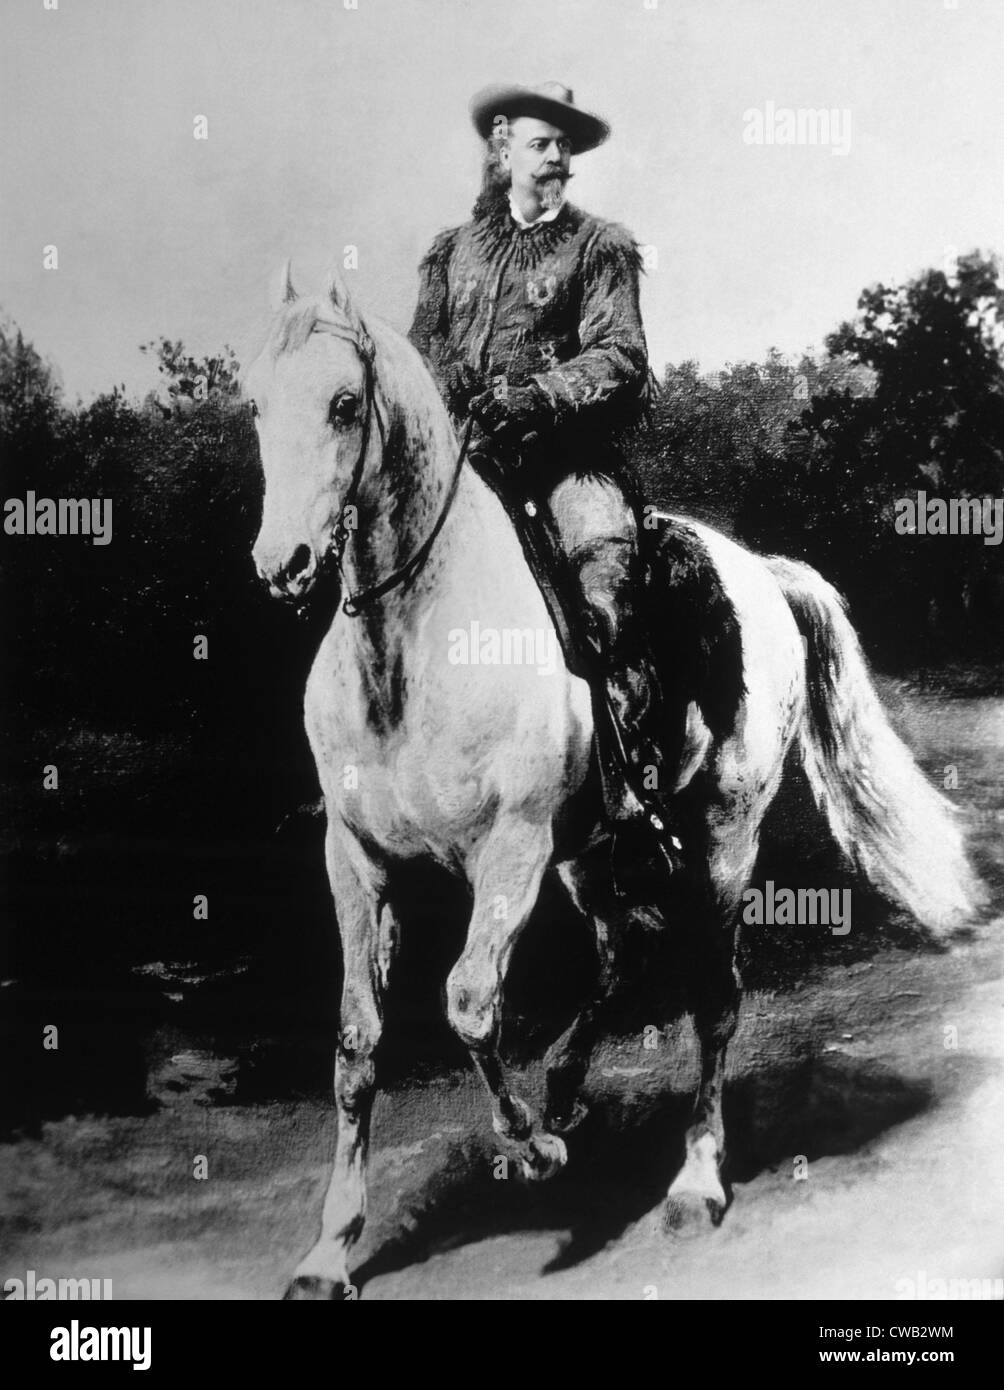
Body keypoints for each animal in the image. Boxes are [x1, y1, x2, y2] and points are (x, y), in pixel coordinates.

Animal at [244, 265, 978, 1295]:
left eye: (345, 405)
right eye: (257, 405)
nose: (284, 566)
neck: (413, 655)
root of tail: (760, 571)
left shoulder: (509, 854)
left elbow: (470, 1003)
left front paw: (530, 1150)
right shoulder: (355, 864)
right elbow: (357, 1043)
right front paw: (330, 1249)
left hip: (719, 845)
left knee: (713, 1000)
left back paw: (693, 1183)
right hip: (592, 858)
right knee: (623, 957)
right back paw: (563, 1089)